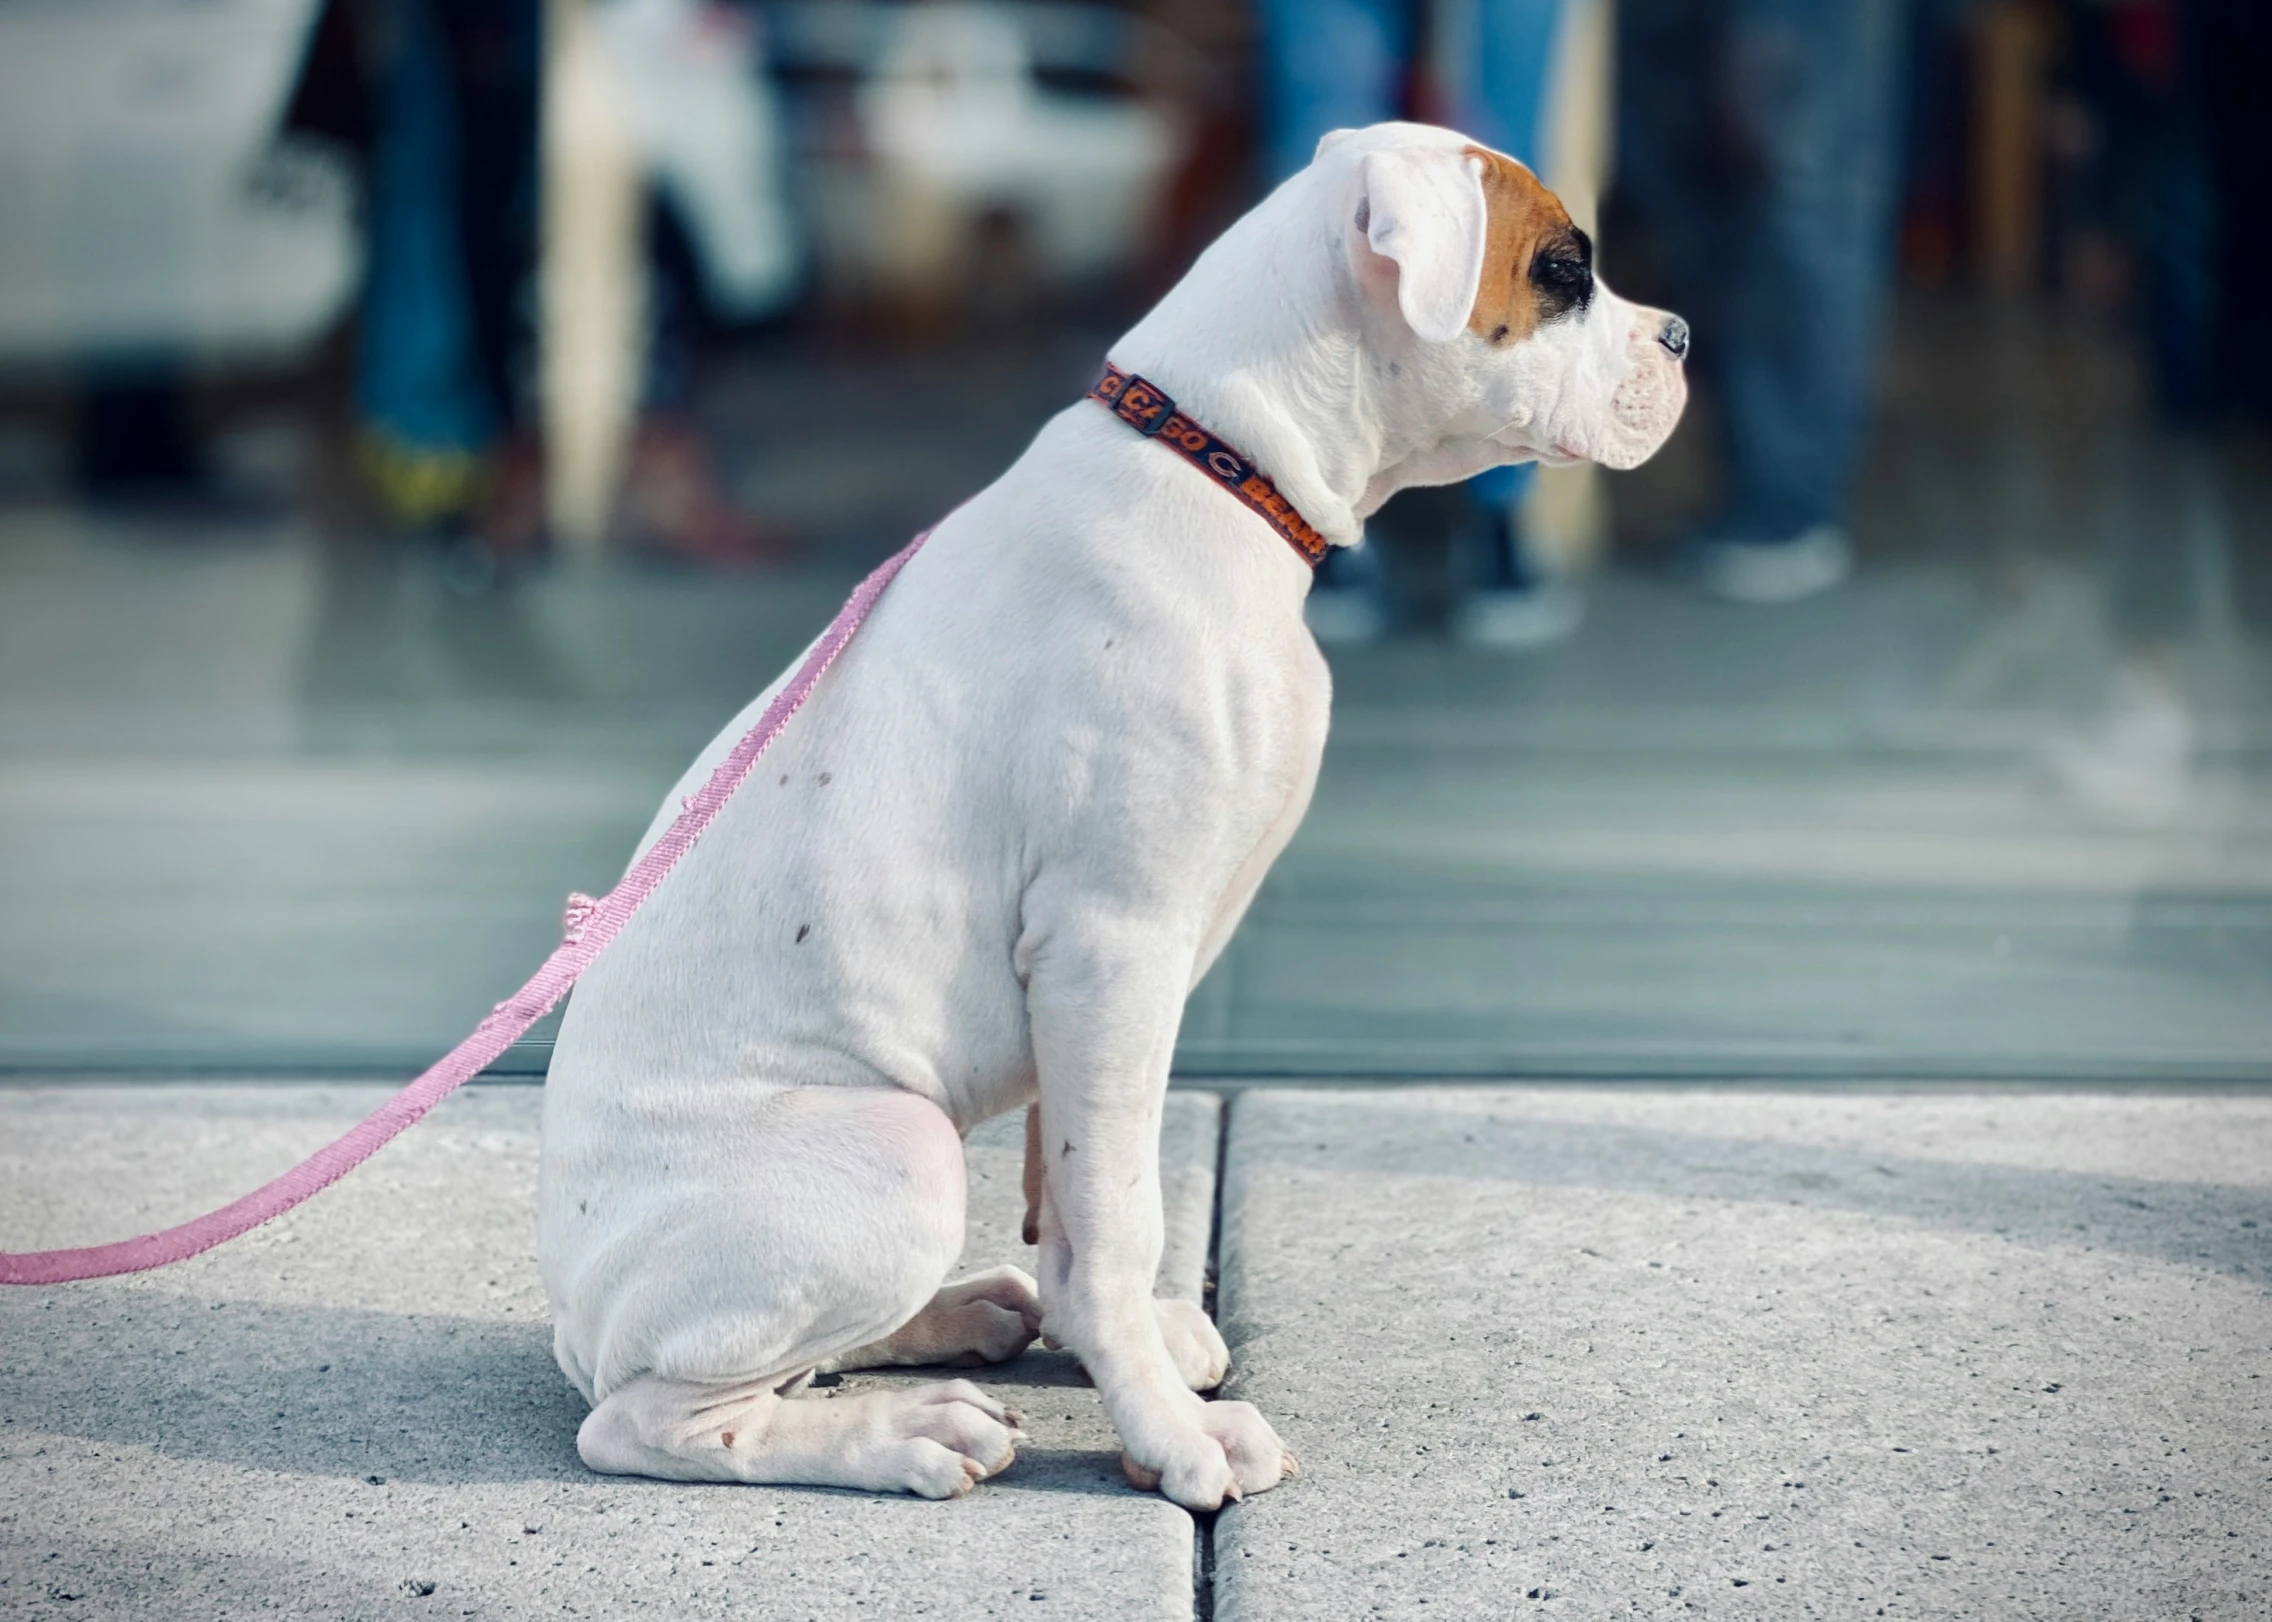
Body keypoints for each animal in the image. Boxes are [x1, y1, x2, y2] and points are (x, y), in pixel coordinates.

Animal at [536, 123, 1690, 1499]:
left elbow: (1078, 1205)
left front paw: (1120, 1348)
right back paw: (904, 1430)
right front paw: (1168, 1431)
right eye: (1564, 269)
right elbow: (1122, 1207)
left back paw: (958, 1314)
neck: (1222, 466)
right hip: (897, 1150)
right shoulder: (1113, 946)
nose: (1683, 336)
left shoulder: (1088, 988)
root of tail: (571, 1312)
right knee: (661, 1414)